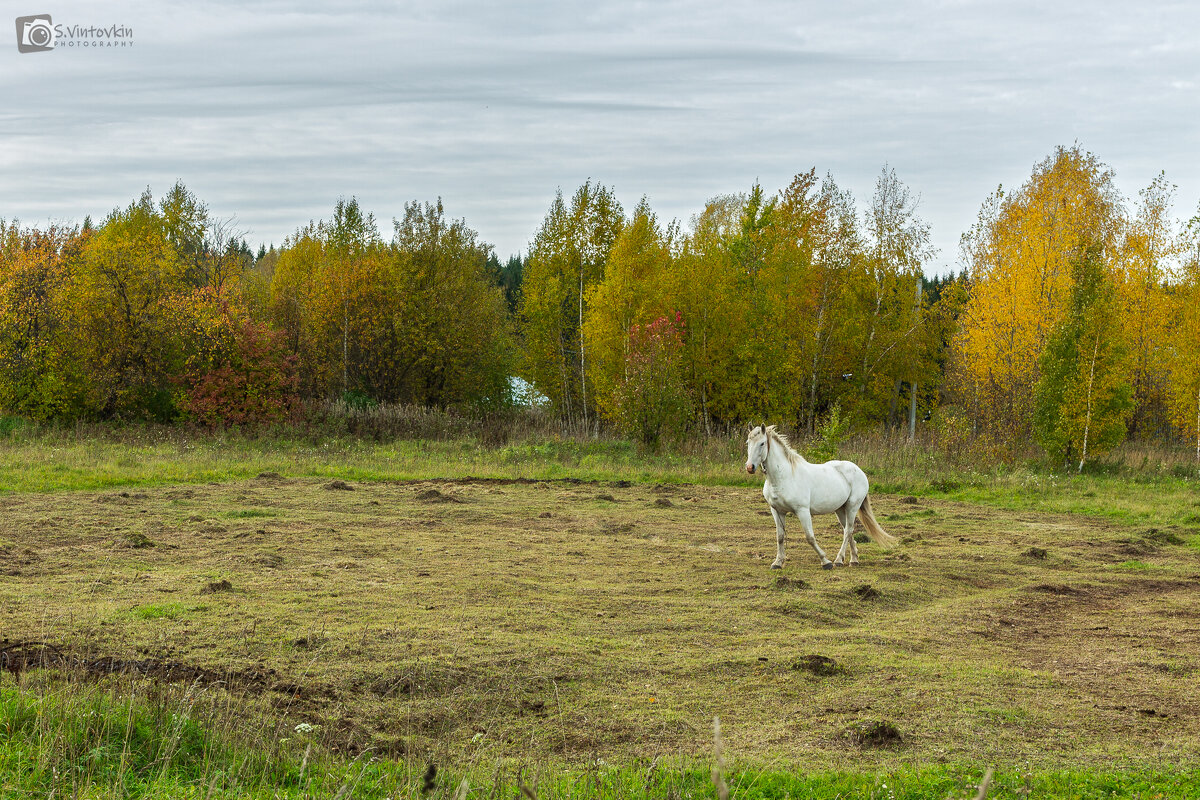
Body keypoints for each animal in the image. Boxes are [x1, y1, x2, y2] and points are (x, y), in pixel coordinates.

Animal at [744, 424, 897, 568]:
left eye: (762, 443)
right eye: (748, 442)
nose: (750, 467)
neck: (784, 476)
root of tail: (858, 470)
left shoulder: (802, 511)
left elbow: (810, 537)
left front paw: (825, 561)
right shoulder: (777, 511)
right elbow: (780, 537)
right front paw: (777, 563)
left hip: (852, 507)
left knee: (848, 530)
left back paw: (838, 560)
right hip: (840, 509)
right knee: (848, 530)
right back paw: (853, 560)